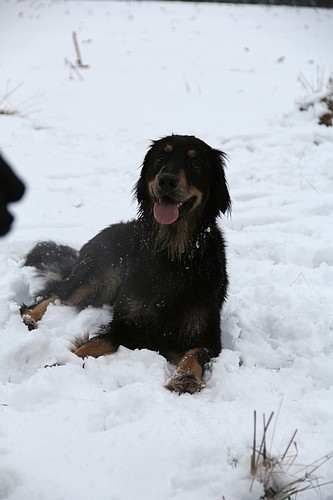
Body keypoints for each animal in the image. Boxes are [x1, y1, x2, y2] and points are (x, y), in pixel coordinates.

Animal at [21, 136, 231, 394]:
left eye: (195, 164)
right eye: (160, 158)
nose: (166, 180)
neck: (172, 254)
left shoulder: (208, 338)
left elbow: (196, 353)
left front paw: (185, 378)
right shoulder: (123, 327)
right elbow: (90, 345)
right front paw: (59, 366)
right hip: (99, 277)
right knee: (55, 296)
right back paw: (30, 318)